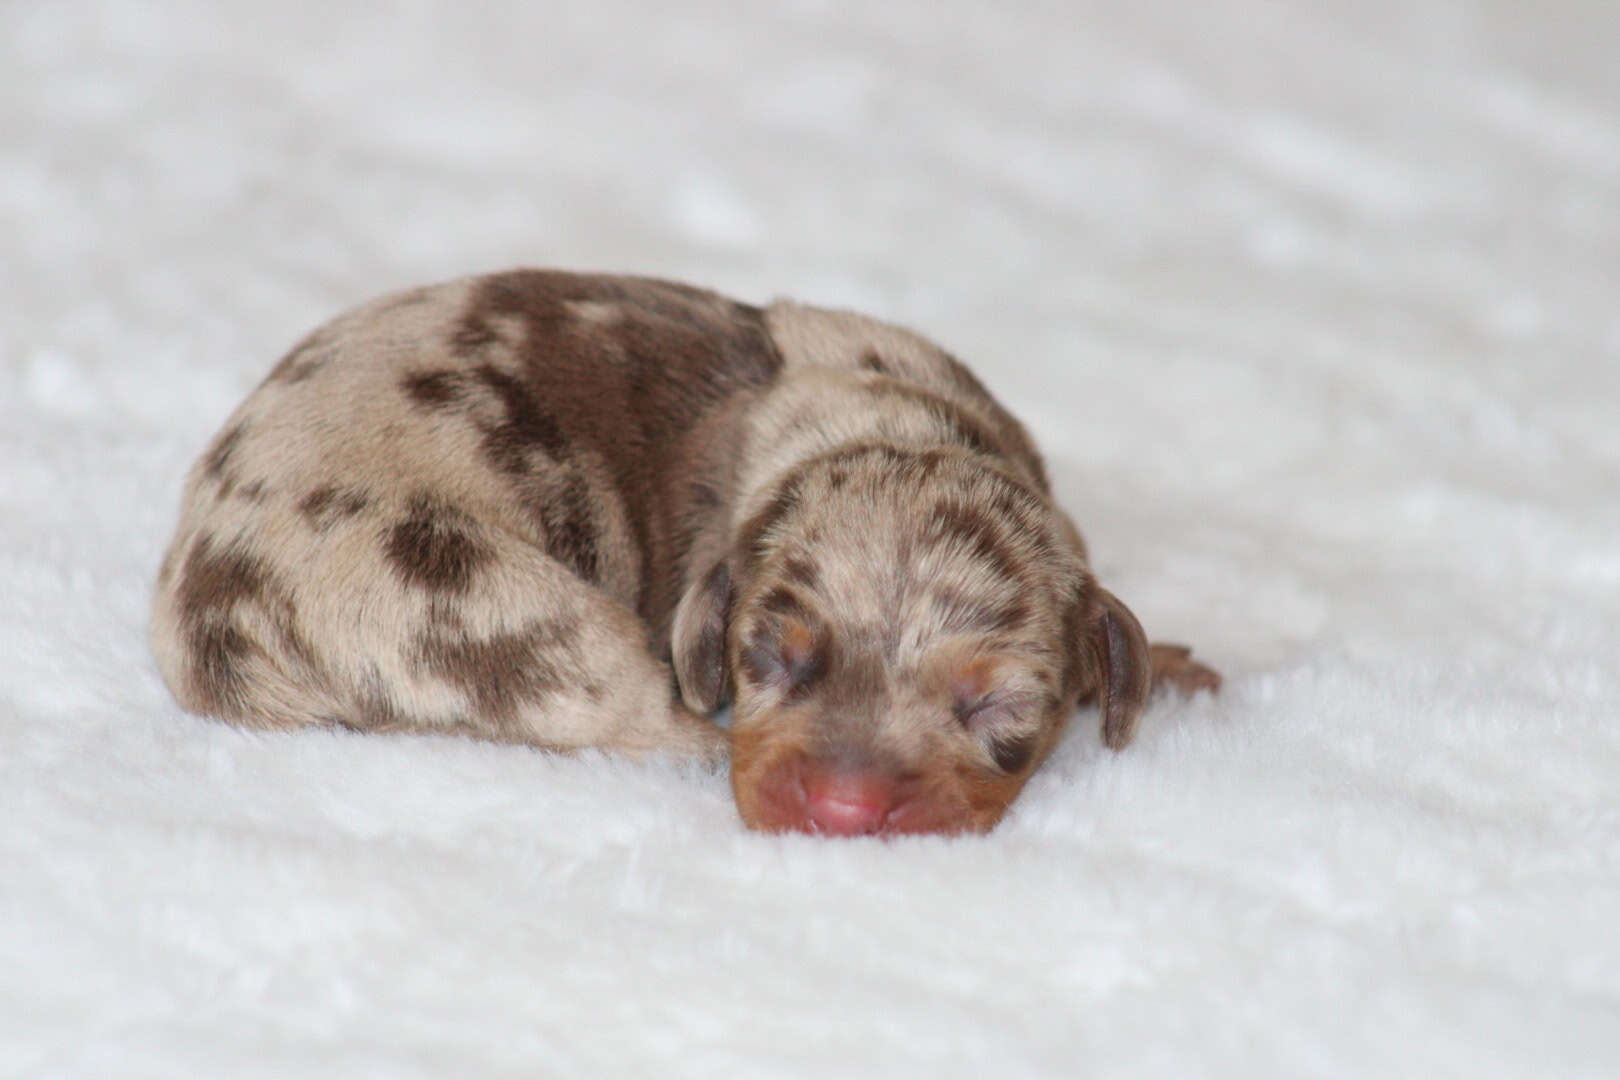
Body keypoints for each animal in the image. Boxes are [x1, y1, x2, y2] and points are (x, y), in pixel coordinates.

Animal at [152, 268, 1218, 835]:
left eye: (998, 705)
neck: (896, 422)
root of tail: (213, 622)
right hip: (509, 617)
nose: (841, 811)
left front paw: (1162, 660)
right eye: (771, 658)